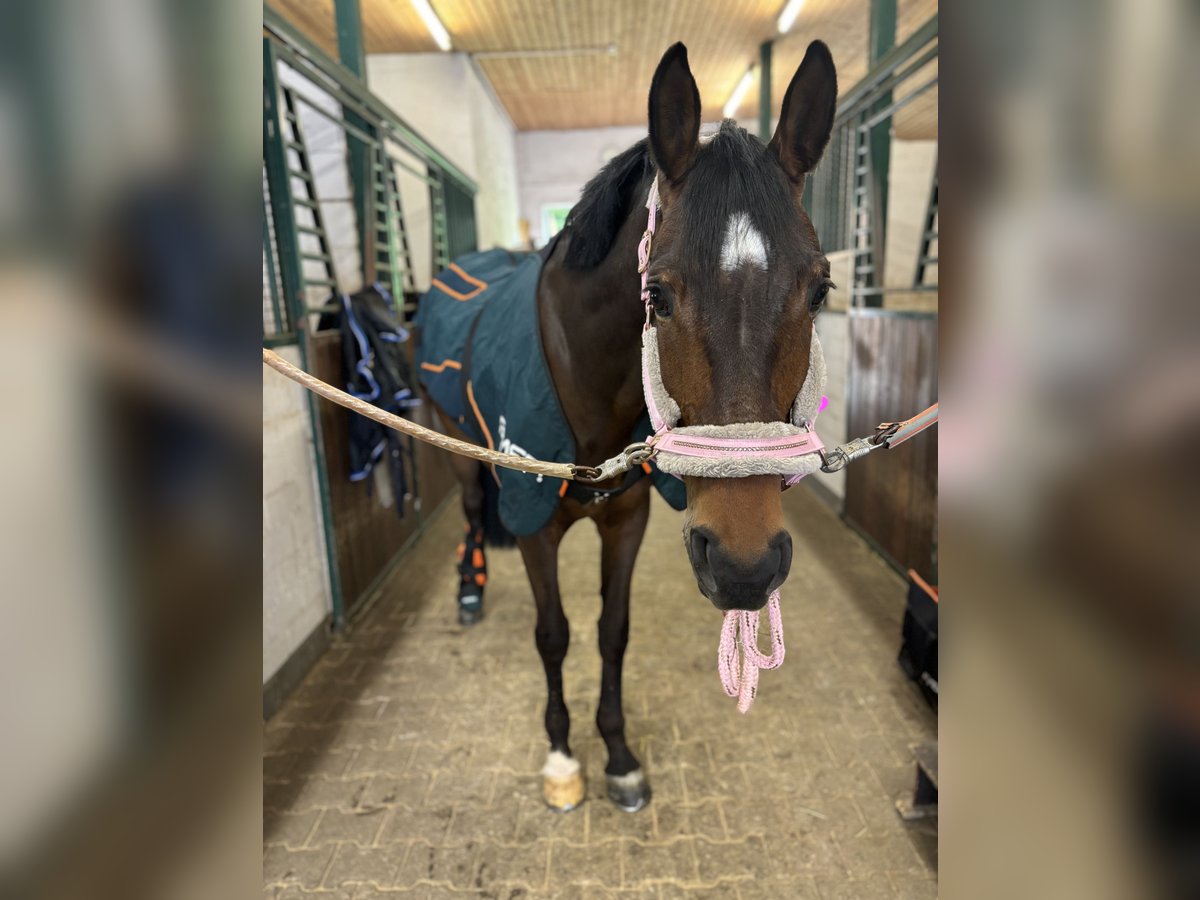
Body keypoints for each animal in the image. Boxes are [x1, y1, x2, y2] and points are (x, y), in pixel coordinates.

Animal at [432, 42, 835, 816]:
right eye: (658, 295)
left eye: (820, 291)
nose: (744, 567)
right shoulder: (534, 522)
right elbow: (554, 635)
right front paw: (563, 757)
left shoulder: (628, 520)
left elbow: (611, 634)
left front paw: (617, 757)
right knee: (468, 510)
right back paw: (469, 589)